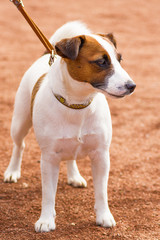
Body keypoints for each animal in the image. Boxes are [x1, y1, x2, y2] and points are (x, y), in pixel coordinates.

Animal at [3, 21, 136, 232]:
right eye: (101, 61)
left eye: (120, 59)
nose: (132, 86)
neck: (78, 104)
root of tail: (47, 54)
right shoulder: (49, 158)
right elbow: (48, 194)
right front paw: (46, 220)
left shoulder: (101, 155)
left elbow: (101, 192)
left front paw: (104, 216)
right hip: (20, 122)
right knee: (19, 146)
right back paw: (12, 171)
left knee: (70, 156)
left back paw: (74, 176)